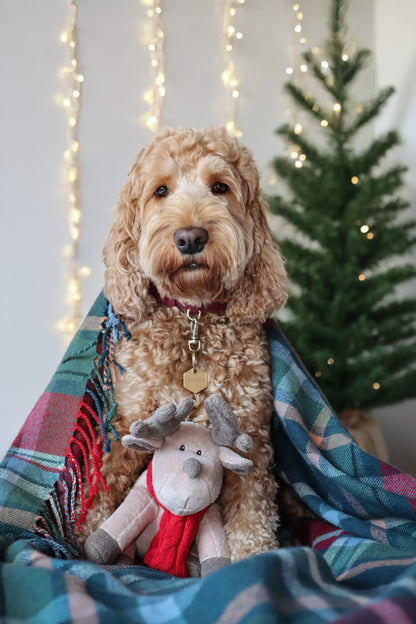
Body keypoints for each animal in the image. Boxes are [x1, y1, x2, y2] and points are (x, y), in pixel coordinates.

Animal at [82, 125, 288, 560]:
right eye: (160, 191)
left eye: (220, 187)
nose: (191, 237)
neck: (193, 315)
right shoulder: (127, 426)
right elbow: (103, 485)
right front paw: (84, 538)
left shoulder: (250, 438)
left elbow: (252, 516)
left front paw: (253, 558)